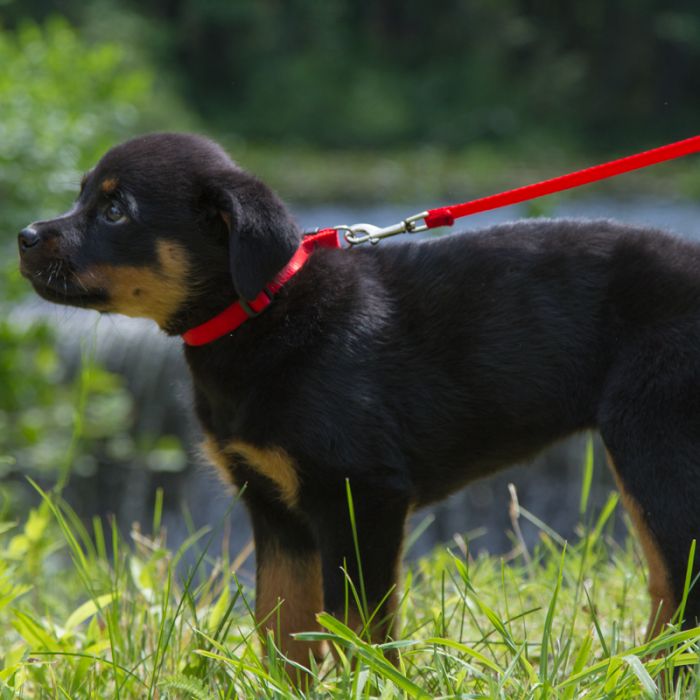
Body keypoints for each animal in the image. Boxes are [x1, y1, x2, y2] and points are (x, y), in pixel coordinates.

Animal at [17, 133, 700, 668]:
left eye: (115, 210)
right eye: (83, 196)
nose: (23, 235)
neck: (262, 316)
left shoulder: (361, 495)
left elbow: (358, 632)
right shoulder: (277, 511)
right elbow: (283, 631)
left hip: (656, 445)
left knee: (681, 589)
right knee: (669, 591)